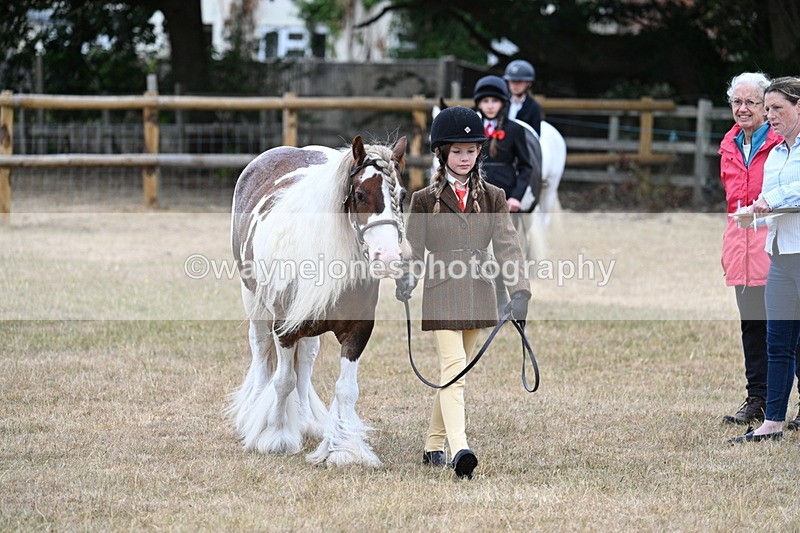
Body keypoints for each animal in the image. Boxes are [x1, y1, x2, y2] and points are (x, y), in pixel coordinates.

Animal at [229, 135, 409, 467]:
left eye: (401, 195)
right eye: (360, 194)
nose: (389, 257)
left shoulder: (358, 330)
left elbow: (346, 389)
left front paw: (344, 448)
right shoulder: (284, 329)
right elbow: (282, 381)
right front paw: (276, 437)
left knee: (306, 362)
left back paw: (306, 420)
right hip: (255, 304)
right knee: (261, 354)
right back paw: (254, 416)